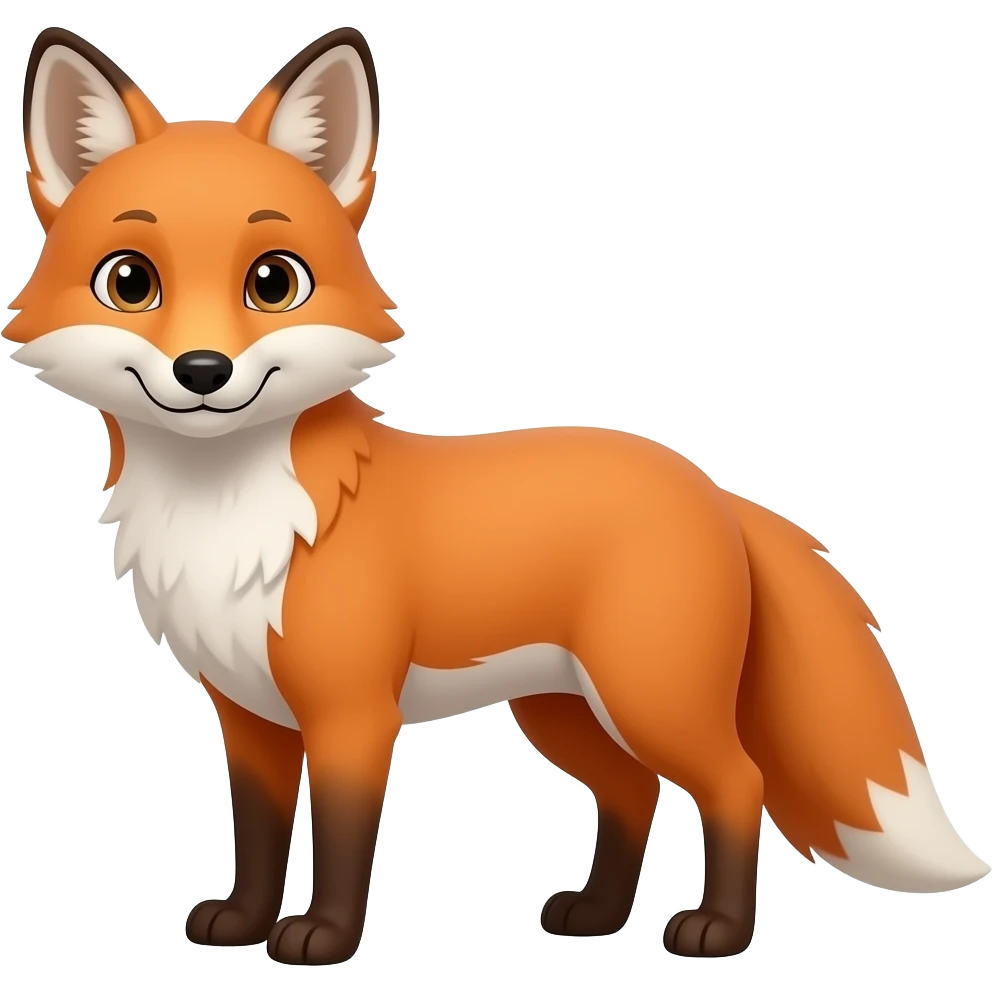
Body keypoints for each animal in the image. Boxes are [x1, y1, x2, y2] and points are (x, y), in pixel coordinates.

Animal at [6, 25, 989, 967]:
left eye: (273, 281)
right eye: (130, 280)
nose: (203, 371)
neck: (228, 515)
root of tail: (709, 484)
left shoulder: (352, 713)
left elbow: (341, 840)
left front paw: (322, 938)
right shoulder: (248, 714)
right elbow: (256, 832)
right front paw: (243, 922)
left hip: (647, 695)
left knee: (734, 782)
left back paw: (717, 929)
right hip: (563, 710)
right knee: (633, 791)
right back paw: (595, 914)